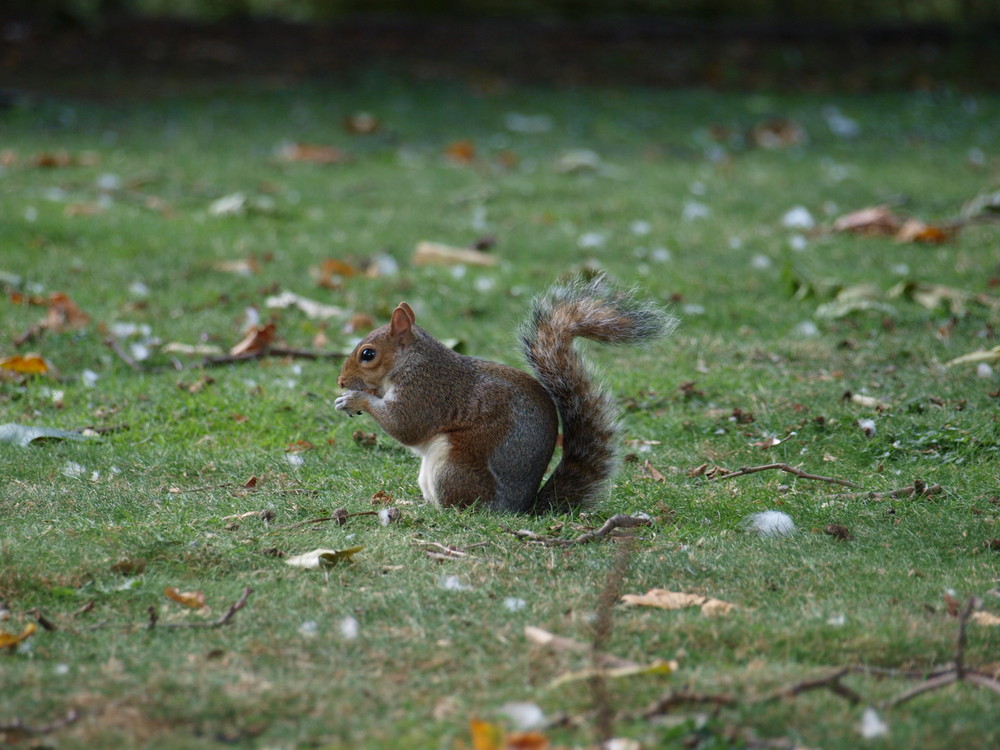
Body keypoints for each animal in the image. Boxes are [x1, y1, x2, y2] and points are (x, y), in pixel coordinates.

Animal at [338, 276, 680, 516]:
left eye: (368, 354)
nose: (341, 381)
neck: (411, 361)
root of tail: (517, 508)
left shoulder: (426, 391)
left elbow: (406, 426)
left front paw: (355, 399)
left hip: (455, 465)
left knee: (461, 506)